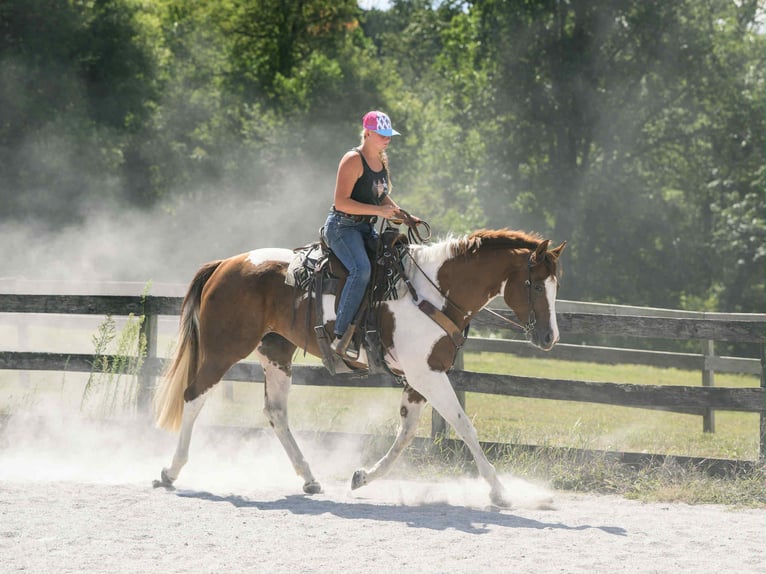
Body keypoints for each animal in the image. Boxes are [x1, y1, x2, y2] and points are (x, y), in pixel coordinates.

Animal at [152, 228, 566, 507]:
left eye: (555, 286)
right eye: (534, 284)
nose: (549, 337)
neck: (434, 292)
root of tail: (226, 264)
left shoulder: (420, 377)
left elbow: (406, 433)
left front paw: (363, 477)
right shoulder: (428, 375)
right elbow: (464, 426)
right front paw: (499, 491)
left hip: (277, 351)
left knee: (276, 412)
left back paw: (309, 478)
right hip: (223, 350)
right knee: (193, 397)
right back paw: (170, 471)